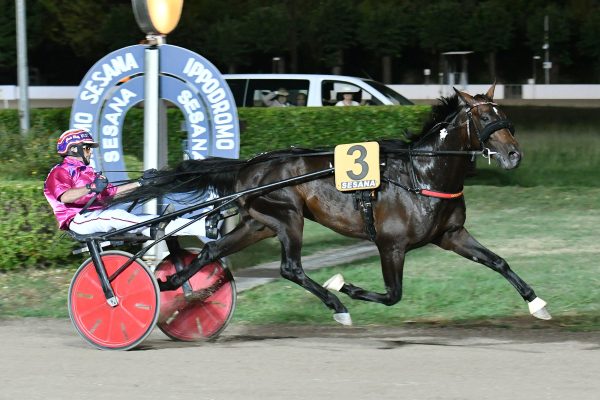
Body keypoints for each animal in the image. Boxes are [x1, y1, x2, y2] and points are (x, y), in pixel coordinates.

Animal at [110, 84, 552, 324]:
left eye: (503, 113)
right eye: (483, 118)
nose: (514, 155)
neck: (422, 176)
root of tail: (248, 165)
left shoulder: (451, 234)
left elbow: (499, 262)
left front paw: (537, 304)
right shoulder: (391, 244)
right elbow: (393, 294)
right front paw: (348, 286)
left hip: (259, 223)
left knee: (211, 251)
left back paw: (173, 286)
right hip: (288, 218)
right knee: (290, 268)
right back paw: (336, 302)